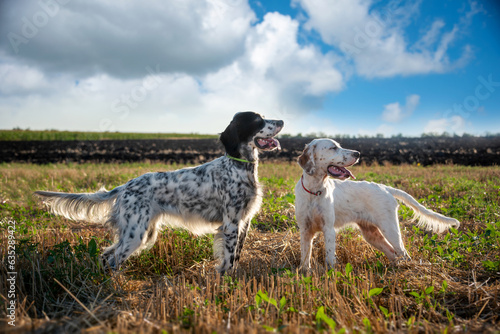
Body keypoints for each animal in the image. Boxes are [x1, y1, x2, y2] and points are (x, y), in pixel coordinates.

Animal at [34, 112, 284, 274]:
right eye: (257, 120)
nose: (282, 120)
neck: (239, 166)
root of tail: (125, 186)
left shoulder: (244, 222)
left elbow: (236, 256)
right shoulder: (231, 224)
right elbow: (229, 260)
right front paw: (226, 284)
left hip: (143, 231)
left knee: (106, 256)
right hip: (136, 233)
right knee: (113, 258)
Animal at [292, 138, 460, 272]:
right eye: (333, 148)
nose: (357, 154)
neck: (314, 192)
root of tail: (386, 188)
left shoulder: (329, 229)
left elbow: (329, 258)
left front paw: (330, 274)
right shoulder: (305, 230)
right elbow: (305, 256)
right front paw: (304, 272)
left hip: (389, 229)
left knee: (403, 253)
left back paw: (408, 270)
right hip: (371, 234)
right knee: (393, 253)